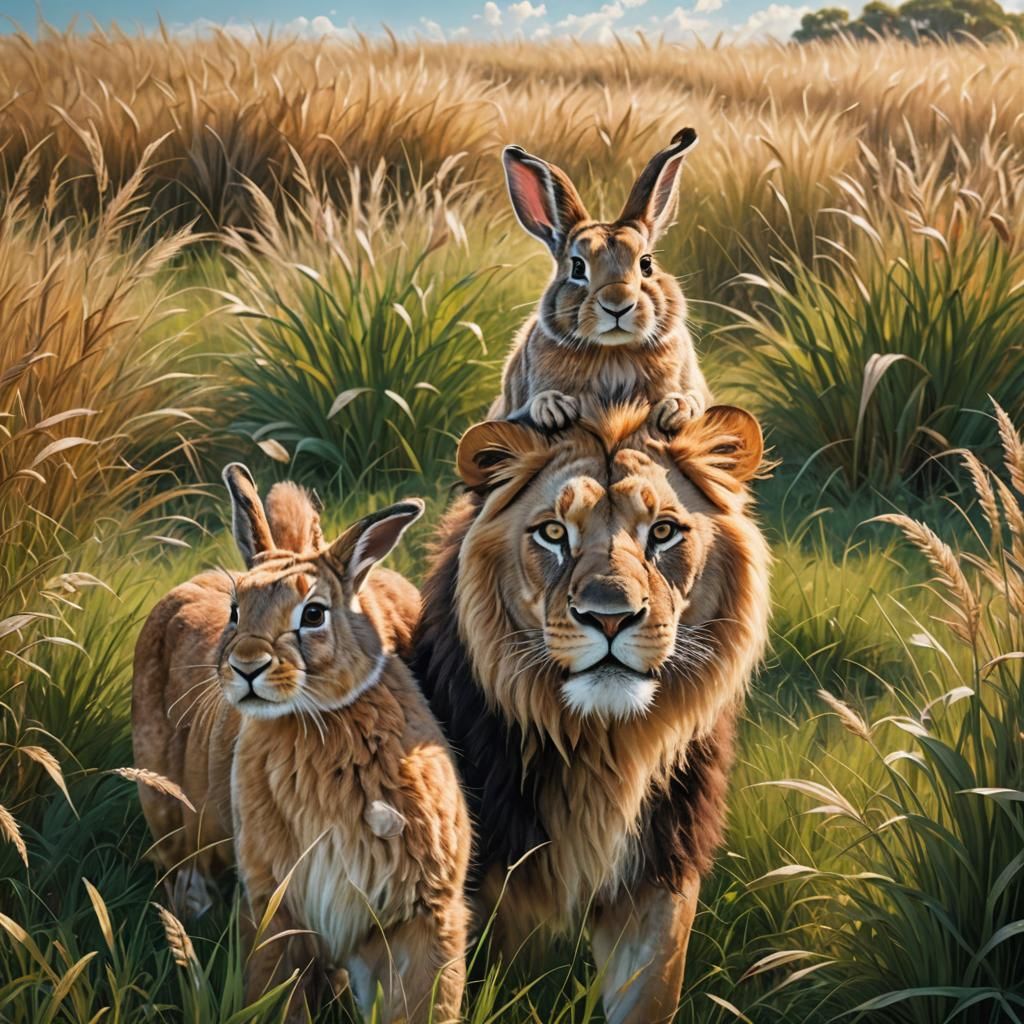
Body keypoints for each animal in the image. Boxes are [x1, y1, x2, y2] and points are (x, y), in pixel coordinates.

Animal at [214, 464, 469, 1023]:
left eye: (313, 615)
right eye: (234, 611)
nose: (246, 666)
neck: (317, 721)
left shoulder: (424, 912)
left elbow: (423, 1002)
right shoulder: (276, 909)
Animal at [492, 127, 711, 434]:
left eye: (646, 264)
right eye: (578, 267)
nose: (617, 305)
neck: (613, 353)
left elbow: (695, 398)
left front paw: (677, 407)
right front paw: (553, 407)